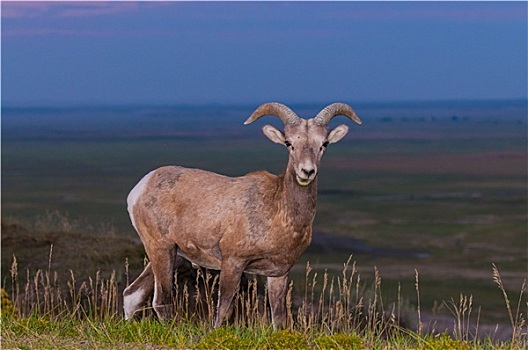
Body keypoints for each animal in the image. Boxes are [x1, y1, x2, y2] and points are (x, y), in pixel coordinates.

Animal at [124, 102, 364, 328]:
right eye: (289, 143)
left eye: (323, 144)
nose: (307, 172)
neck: (277, 211)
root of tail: (140, 188)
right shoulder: (233, 263)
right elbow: (223, 310)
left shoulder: (278, 274)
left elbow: (279, 319)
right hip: (161, 250)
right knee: (160, 301)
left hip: (173, 257)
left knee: (131, 295)